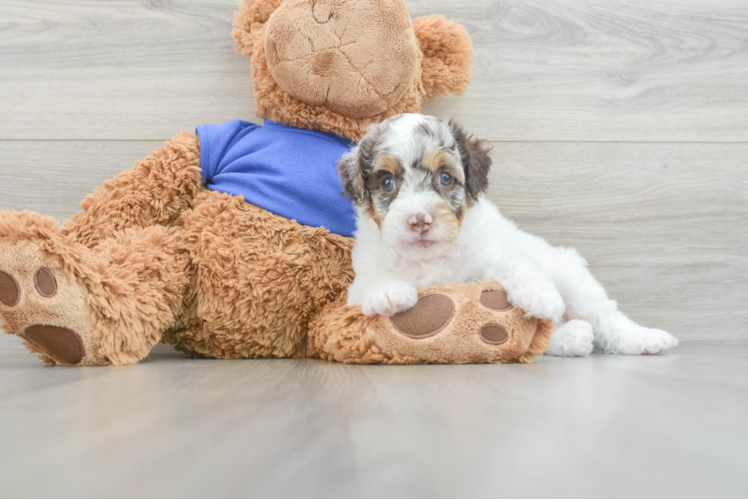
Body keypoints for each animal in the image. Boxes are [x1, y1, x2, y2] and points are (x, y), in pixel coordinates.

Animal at [338, 113, 676, 356]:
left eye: (445, 178)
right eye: (387, 183)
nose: (419, 220)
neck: (432, 257)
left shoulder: (495, 248)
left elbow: (515, 263)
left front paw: (540, 295)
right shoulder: (360, 277)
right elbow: (369, 282)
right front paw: (389, 292)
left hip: (573, 278)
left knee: (606, 316)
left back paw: (643, 338)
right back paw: (574, 337)